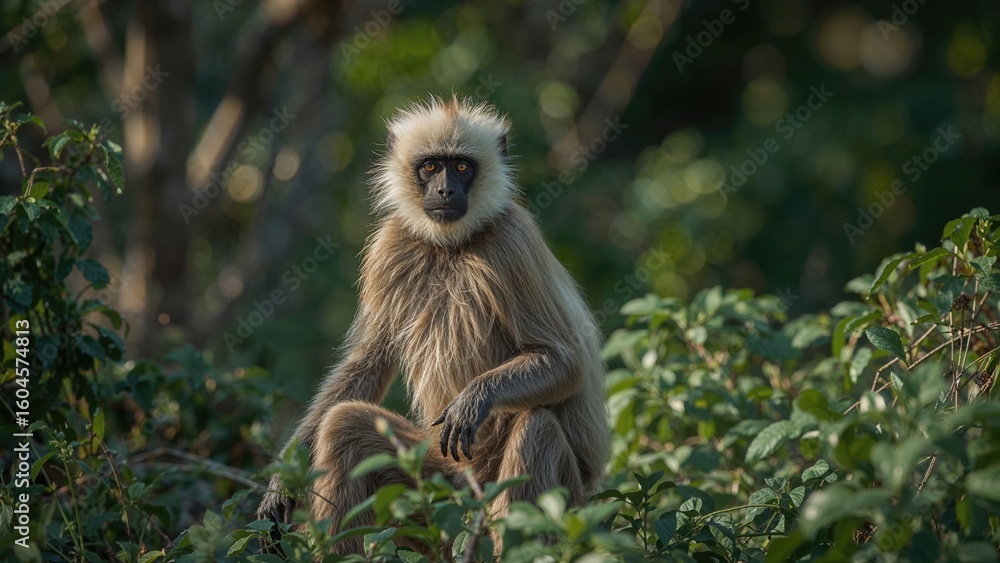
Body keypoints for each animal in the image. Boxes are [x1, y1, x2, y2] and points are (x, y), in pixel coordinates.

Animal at [256, 96, 609, 555]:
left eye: (460, 167)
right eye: (429, 167)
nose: (445, 191)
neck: (450, 247)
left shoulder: (512, 240)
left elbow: (567, 362)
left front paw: (476, 398)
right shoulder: (391, 244)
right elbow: (369, 364)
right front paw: (281, 484)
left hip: (538, 496)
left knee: (537, 426)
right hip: (439, 490)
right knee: (343, 425)